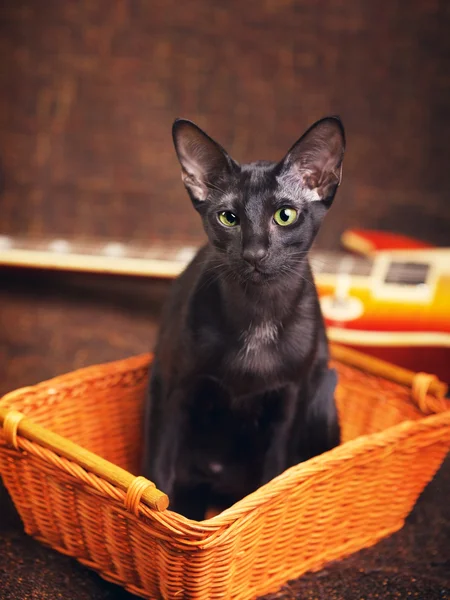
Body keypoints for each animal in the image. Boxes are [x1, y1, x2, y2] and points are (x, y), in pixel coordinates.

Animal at [142, 117, 346, 520]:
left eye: (285, 215)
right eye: (229, 217)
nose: (254, 252)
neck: (258, 314)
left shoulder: (290, 401)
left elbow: (272, 479)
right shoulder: (173, 388)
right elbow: (159, 477)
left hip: (321, 399)